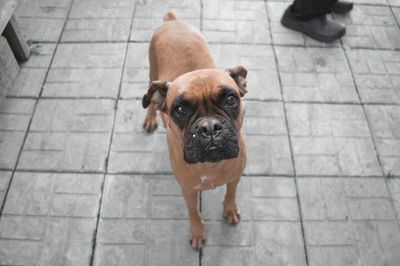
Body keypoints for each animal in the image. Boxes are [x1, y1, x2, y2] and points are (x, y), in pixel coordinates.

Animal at [141, 11, 247, 249]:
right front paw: (198, 232)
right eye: (179, 110)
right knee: (151, 101)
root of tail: (171, 21)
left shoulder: (235, 178)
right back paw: (150, 118)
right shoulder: (188, 191)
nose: (209, 126)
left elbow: (231, 194)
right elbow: (194, 213)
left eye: (231, 99)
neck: (210, 166)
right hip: (152, 74)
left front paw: (230, 210)